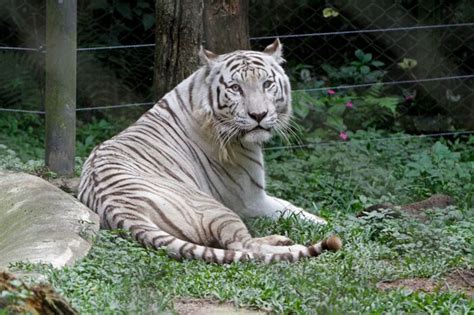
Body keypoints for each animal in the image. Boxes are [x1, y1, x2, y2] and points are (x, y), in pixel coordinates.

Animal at [79, 39, 342, 264]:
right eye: (235, 88)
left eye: (267, 84)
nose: (259, 115)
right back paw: (286, 243)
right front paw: (331, 223)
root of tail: (119, 210)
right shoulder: (251, 200)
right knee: (242, 245)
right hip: (215, 208)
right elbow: (291, 210)